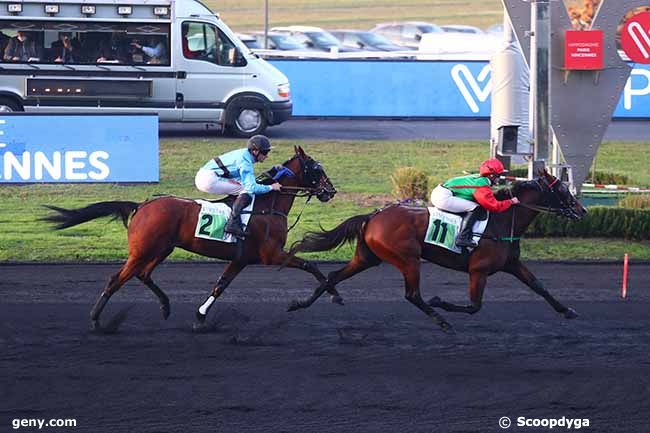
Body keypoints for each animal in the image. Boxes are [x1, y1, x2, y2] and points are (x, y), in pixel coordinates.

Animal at [44, 146, 340, 330]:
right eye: (316, 168)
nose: (331, 191)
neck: (268, 205)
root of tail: (141, 205)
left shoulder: (241, 259)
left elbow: (220, 286)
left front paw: (199, 317)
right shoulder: (272, 254)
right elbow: (311, 266)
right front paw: (331, 296)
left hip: (162, 249)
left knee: (144, 274)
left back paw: (165, 307)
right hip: (143, 250)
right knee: (117, 279)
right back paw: (96, 320)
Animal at [288, 170, 588, 330]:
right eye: (563, 190)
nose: (582, 210)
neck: (503, 220)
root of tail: (374, 215)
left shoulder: (511, 264)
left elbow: (539, 286)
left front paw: (567, 310)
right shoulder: (478, 270)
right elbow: (474, 306)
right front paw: (440, 302)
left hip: (367, 258)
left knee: (333, 276)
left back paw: (301, 303)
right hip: (407, 259)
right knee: (412, 295)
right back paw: (441, 319)